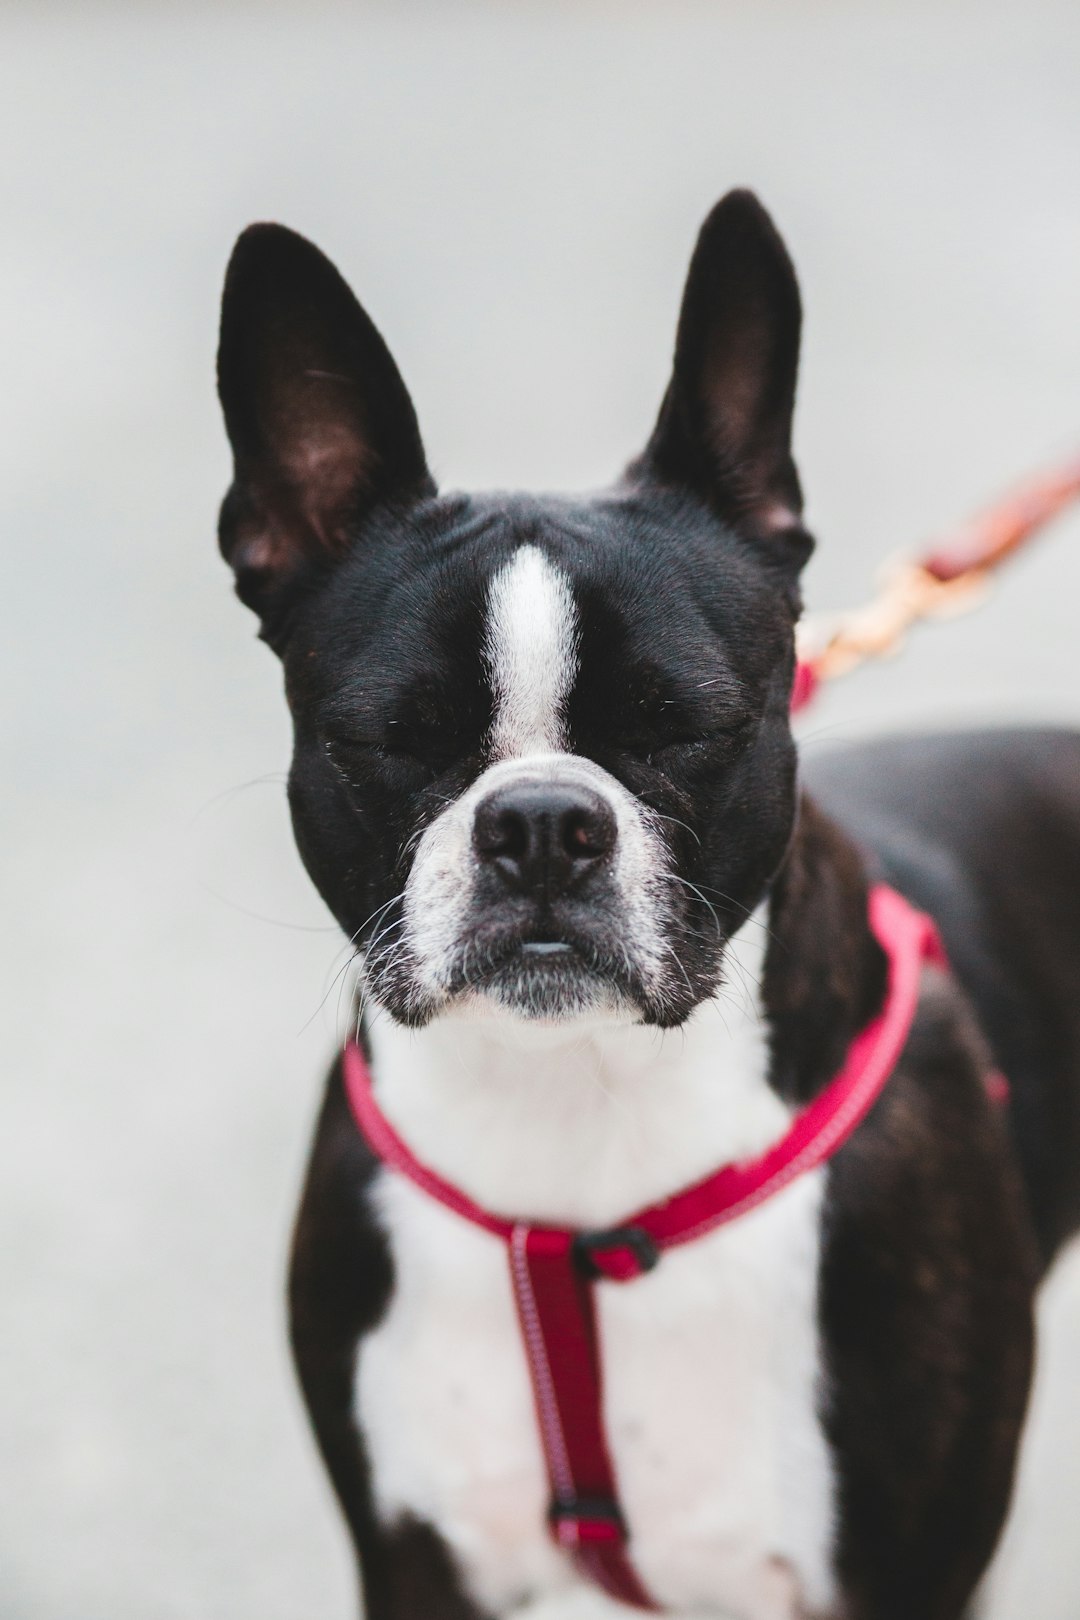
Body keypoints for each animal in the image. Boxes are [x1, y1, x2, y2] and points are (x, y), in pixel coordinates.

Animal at [215, 192, 1080, 1620]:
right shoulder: (414, 1559)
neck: (578, 1110)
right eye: (393, 737)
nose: (541, 824)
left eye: (687, 726)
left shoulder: (901, 1572)